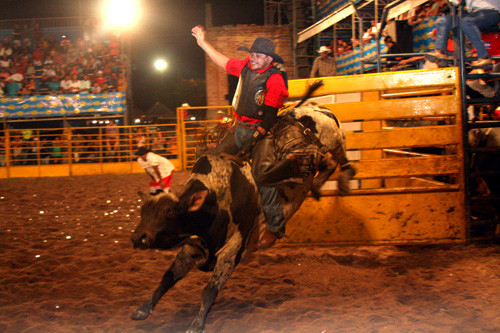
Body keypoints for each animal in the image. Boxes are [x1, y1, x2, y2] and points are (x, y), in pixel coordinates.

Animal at [130, 94, 356, 332]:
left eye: (167, 211)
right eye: (143, 212)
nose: (137, 237)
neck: (215, 199)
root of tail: (313, 109)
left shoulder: (233, 249)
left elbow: (209, 291)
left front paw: (197, 324)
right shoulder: (191, 246)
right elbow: (168, 277)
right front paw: (143, 308)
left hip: (335, 138)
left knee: (340, 158)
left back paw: (345, 177)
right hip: (315, 159)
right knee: (327, 163)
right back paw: (319, 185)